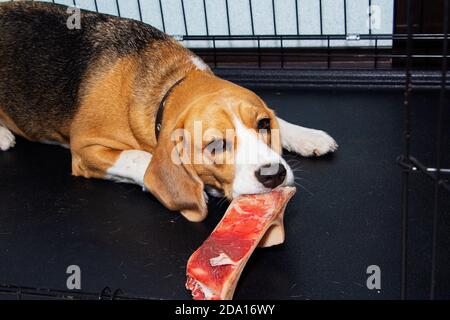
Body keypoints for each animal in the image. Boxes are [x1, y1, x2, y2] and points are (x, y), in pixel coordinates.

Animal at [0, 2, 338, 222]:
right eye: (215, 145)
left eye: (264, 124)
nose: (273, 175)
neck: (172, 81)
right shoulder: (85, 151)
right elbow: (141, 158)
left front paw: (307, 136)